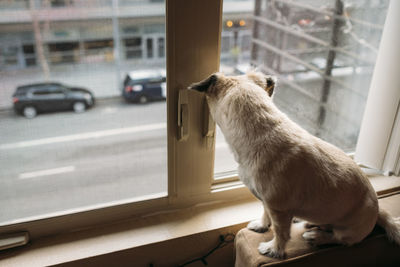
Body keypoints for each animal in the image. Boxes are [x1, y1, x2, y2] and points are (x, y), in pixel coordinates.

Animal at [190, 71, 400, 260]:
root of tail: (377, 211)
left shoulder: (279, 209)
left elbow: (281, 233)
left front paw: (274, 249)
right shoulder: (267, 202)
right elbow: (265, 213)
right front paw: (262, 225)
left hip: (348, 230)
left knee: (339, 238)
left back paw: (318, 236)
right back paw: (310, 224)